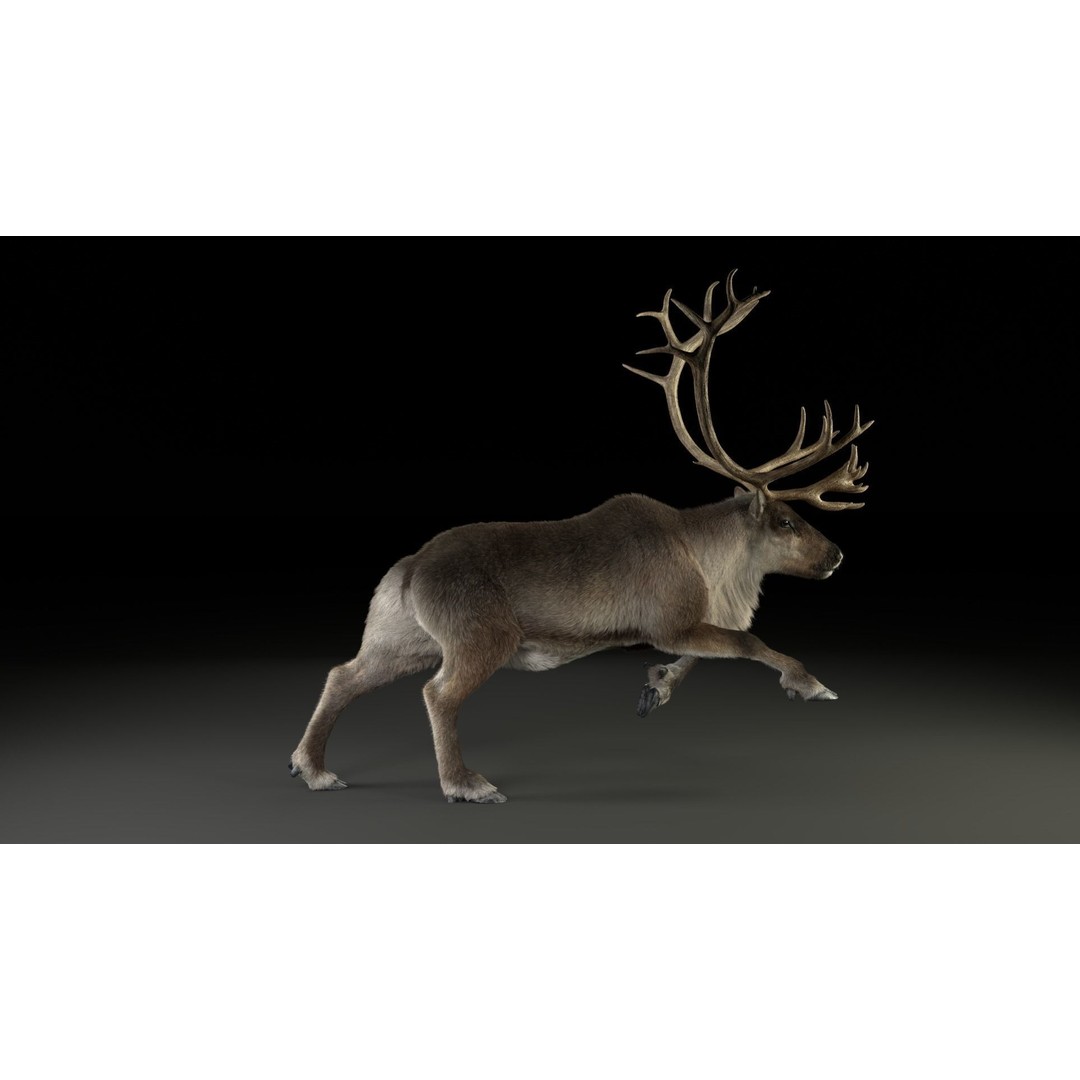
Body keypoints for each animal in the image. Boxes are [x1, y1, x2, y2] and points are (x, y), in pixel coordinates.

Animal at [289, 270, 873, 804]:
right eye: (786, 522)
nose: (837, 554)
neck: (713, 565)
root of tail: (409, 571)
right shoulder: (669, 619)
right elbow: (749, 641)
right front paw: (810, 684)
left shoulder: (675, 627)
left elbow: (704, 655)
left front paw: (654, 688)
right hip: (480, 635)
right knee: (439, 693)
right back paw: (465, 784)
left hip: (399, 636)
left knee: (343, 673)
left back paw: (312, 768)